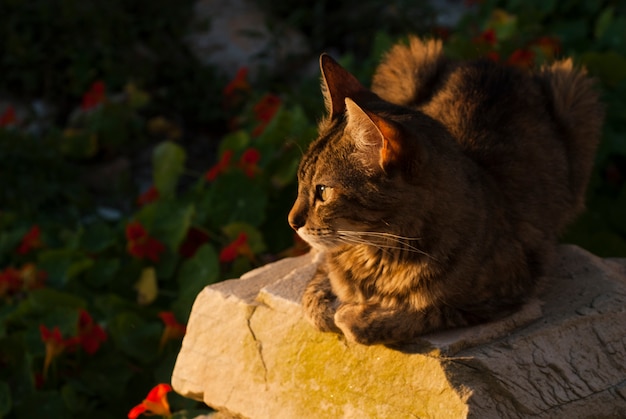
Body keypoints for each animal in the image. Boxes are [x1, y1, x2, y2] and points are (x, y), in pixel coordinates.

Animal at [286, 36, 600, 346]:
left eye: (323, 191)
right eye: (300, 181)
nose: (291, 222)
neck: (382, 254)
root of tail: (495, 63)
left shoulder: (503, 293)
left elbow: (422, 310)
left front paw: (357, 314)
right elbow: (318, 293)